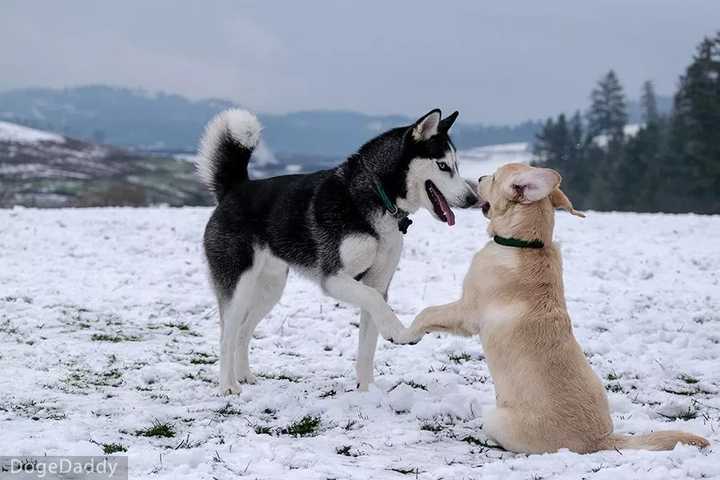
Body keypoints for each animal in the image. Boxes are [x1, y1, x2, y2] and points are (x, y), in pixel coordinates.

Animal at [400, 164, 708, 454]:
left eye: (495, 177)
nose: (480, 177)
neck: (525, 244)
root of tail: (601, 441)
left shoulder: (467, 311)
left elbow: (428, 312)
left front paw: (407, 335)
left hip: (495, 417)